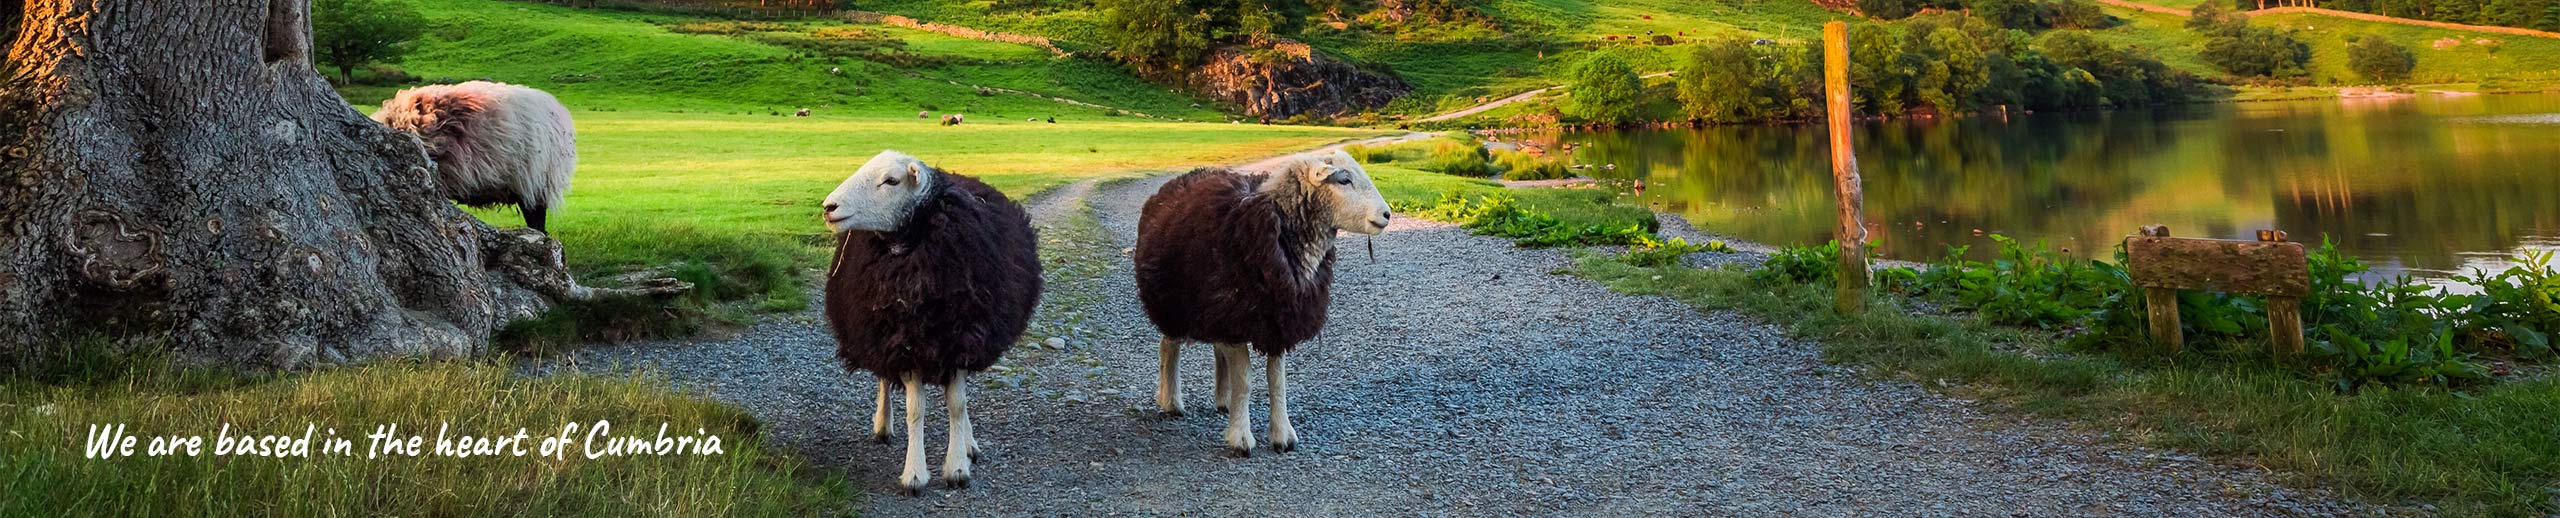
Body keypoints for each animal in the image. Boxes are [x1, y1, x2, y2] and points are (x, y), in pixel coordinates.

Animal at [819, 150, 1039, 494]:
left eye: (891, 180)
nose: (829, 207)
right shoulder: (903, 343)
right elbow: (915, 410)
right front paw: (915, 474)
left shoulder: (963, 339)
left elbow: (958, 404)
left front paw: (958, 467)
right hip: (878, 335)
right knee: (884, 379)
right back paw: (883, 425)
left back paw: (969, 443)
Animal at [1131, 150, 1392, 456]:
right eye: (1344, 180)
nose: (1387, 214)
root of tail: (1179, 180)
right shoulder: (1239, 316)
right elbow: (1245, 381)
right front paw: (1241, 438)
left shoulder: (1277, 320)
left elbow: (1277, 382)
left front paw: (1283, 436)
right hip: (1175, 303)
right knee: (1168, 347)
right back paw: (1171, 401)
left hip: (1216, 312)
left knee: (1216, 351)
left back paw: (1224, 400)